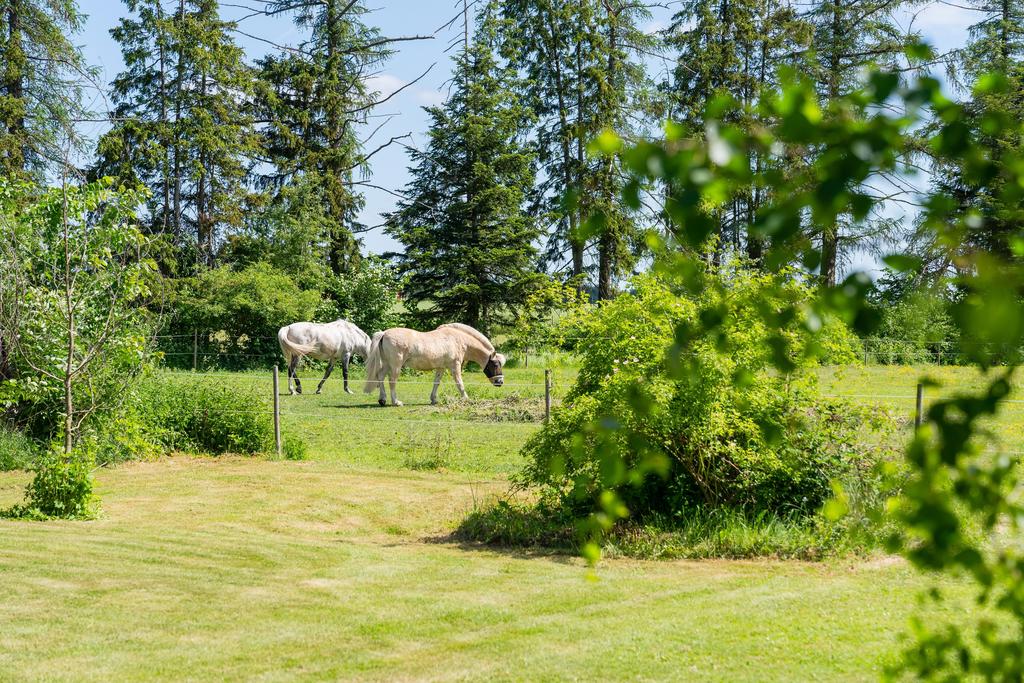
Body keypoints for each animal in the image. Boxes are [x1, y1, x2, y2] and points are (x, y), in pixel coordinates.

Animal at [366, 321, 505, 405]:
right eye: (496, 364)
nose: (500, 382)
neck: (458, 339)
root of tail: (384, 333)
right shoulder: (455, 366)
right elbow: (459, 383)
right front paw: (466, 398)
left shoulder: (440, 368)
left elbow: (436, 383)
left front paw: (433, 399)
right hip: (395, 366)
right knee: (391, 381)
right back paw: (396, 402)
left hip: (387, 364)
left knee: (380, 377)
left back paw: (382, 400)